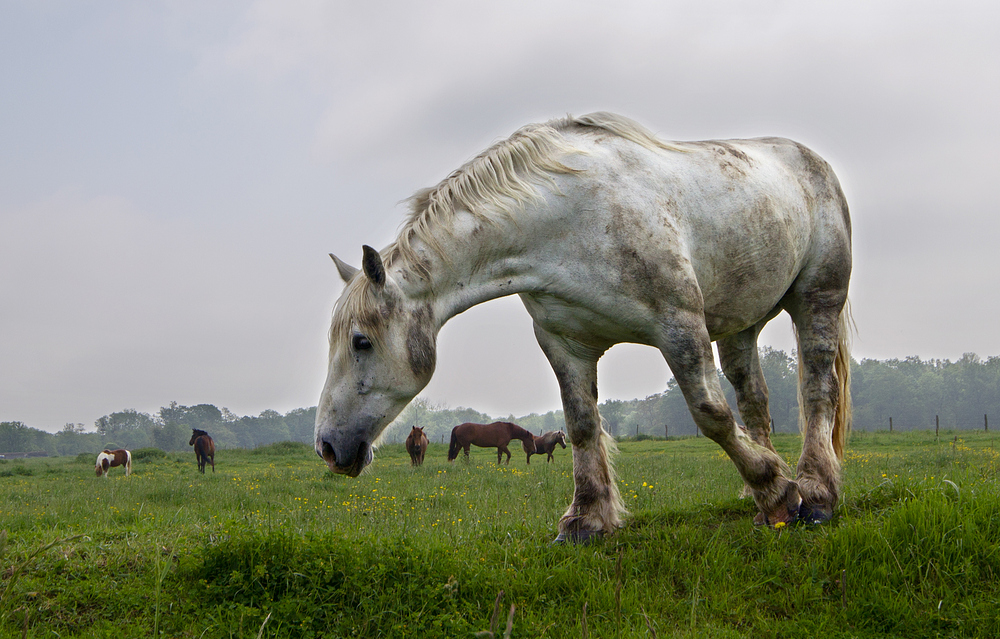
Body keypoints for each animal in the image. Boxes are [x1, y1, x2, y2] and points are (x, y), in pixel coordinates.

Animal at [314, 112, 852, 544]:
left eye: (361, 342)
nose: (328, 447)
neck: (569, 222)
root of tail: (813, 161)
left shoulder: (678, 325)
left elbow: (711, 413)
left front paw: (780, 493)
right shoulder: (565, 344)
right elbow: (582, 425)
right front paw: (586, 520)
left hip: (817, 299)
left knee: (816, 388)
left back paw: (814, 492)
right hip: (741, 325)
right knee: (755, 398)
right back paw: (758, 495)